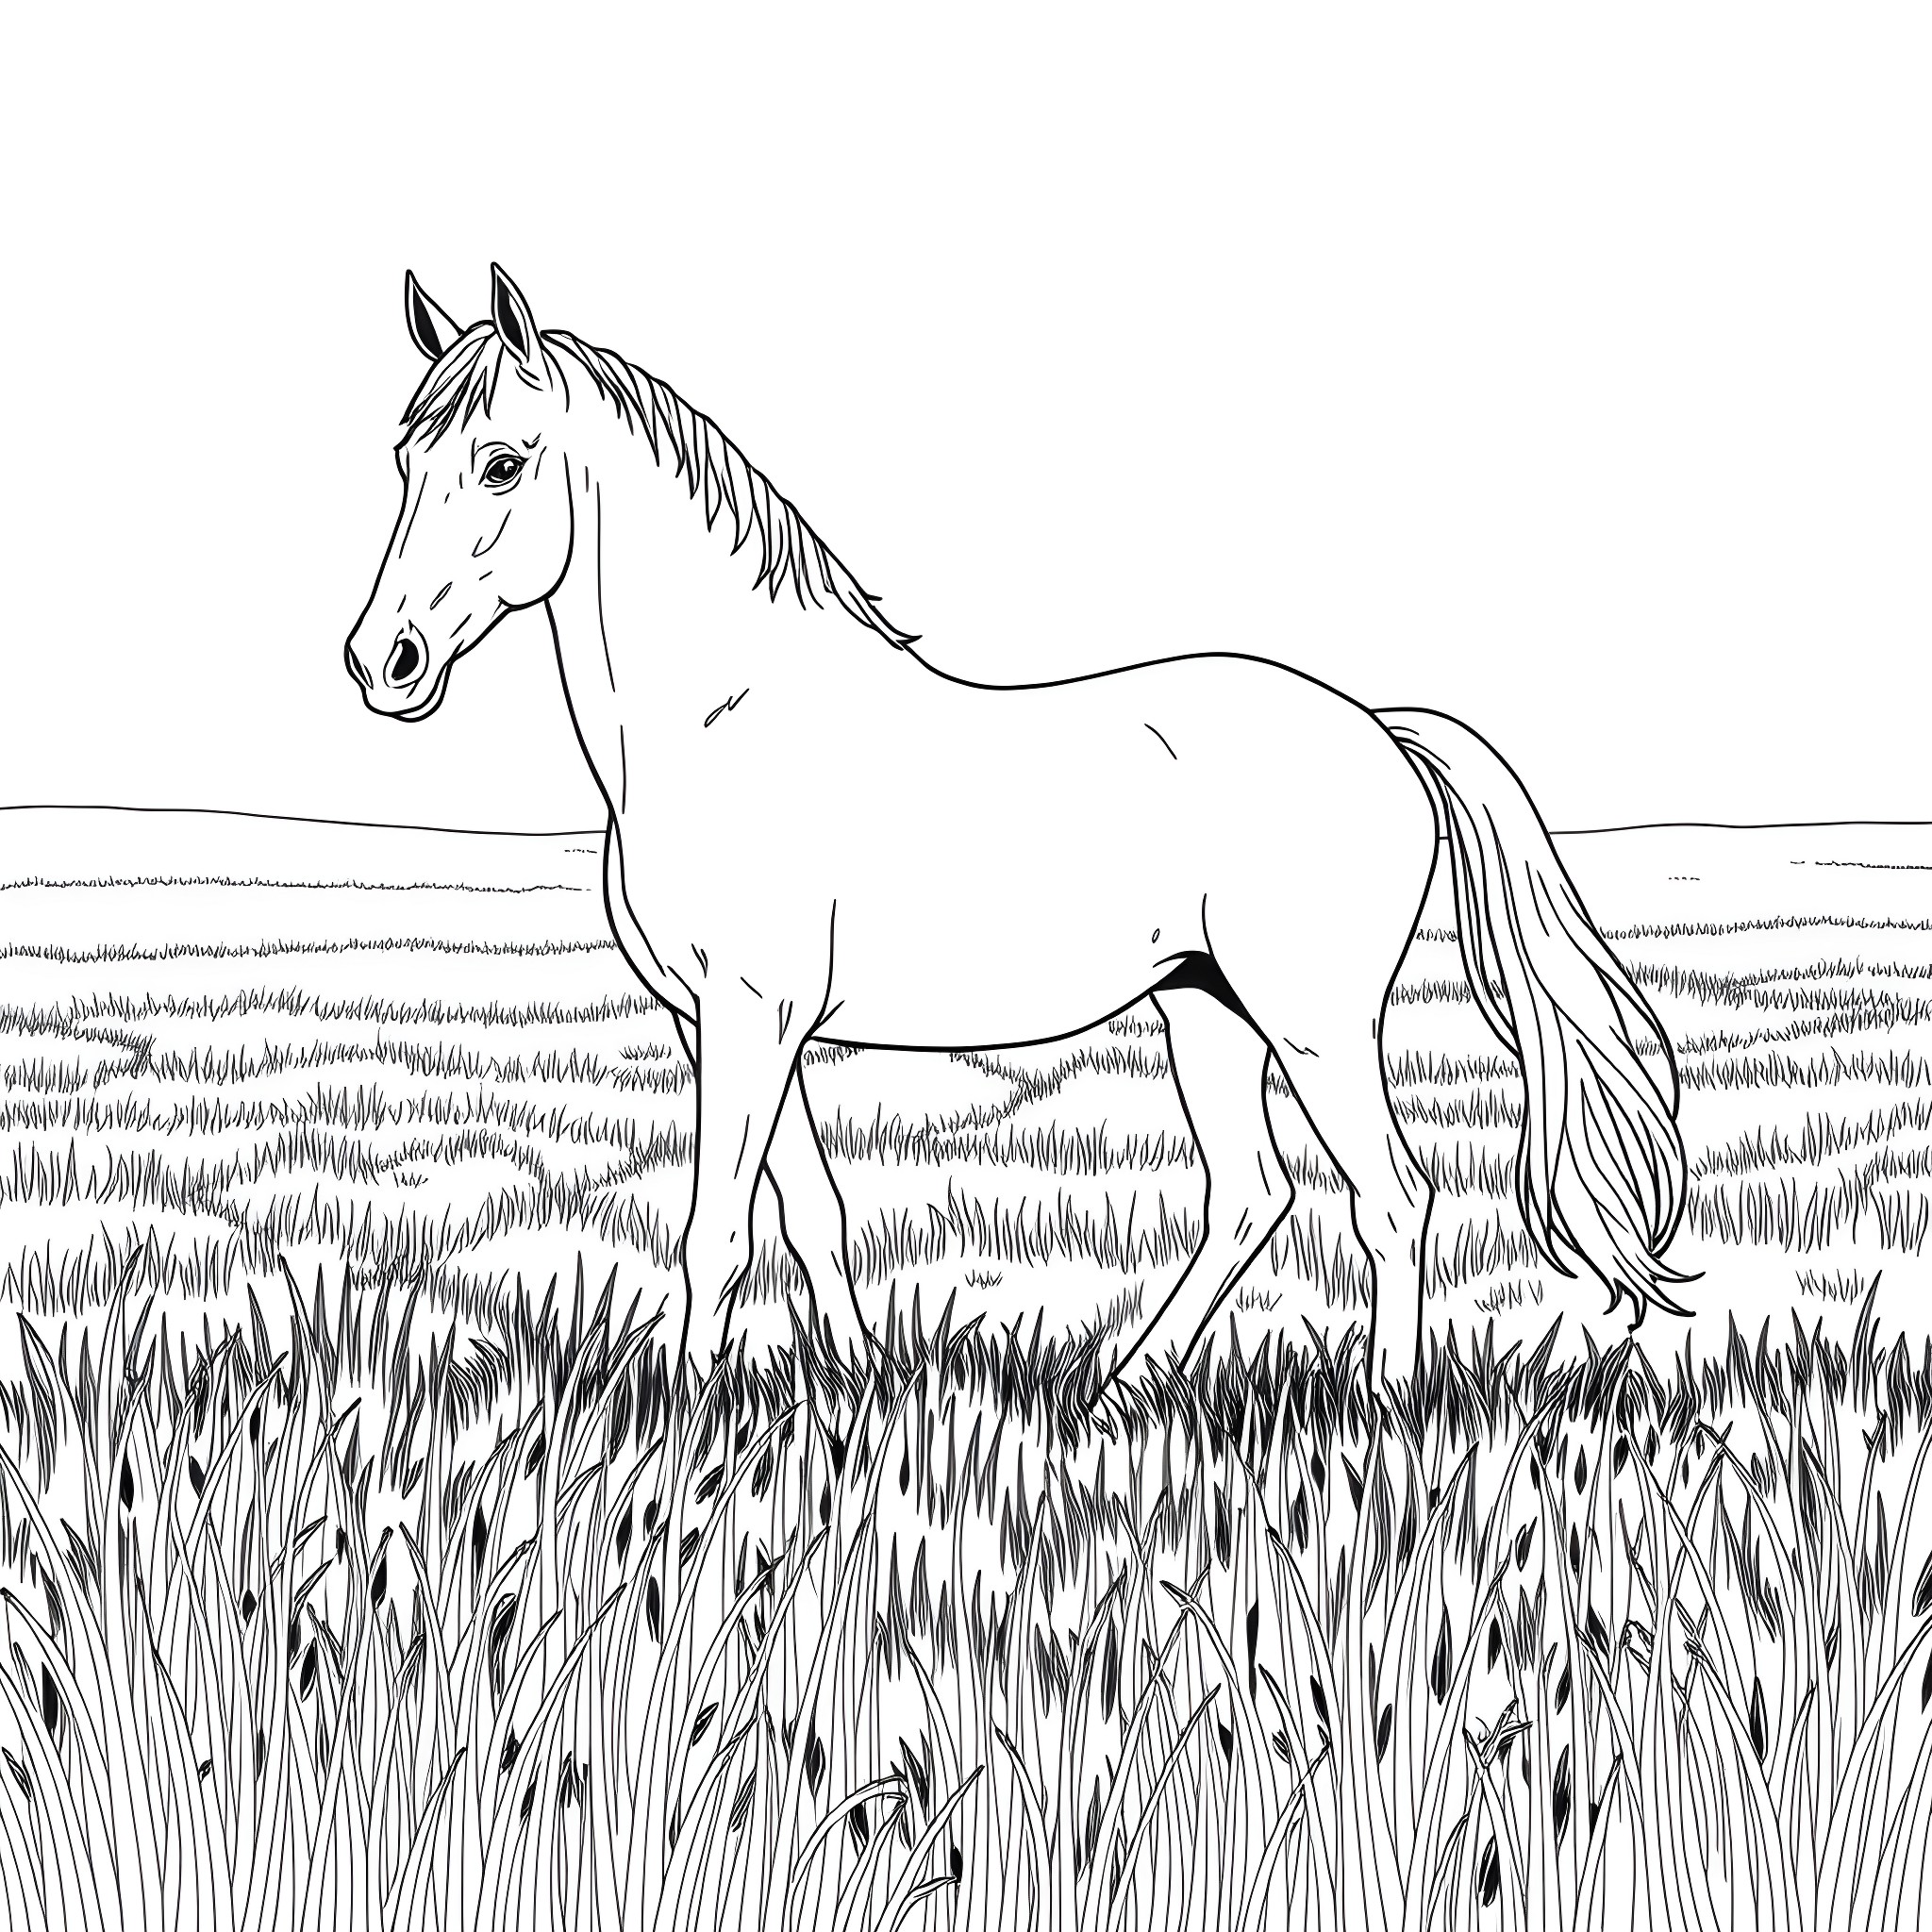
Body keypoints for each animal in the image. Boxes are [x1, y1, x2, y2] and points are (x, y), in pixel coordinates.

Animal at [343, 264, 1692, 1397]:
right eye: (405, 457)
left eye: (502, 462)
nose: (380, 661)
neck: (724, 719)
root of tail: (1377, 729)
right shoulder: (727, 1021)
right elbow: (812, 1217)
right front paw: (858, 1390)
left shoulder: (750, 1014)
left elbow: (714, 1229)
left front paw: (679, 1429)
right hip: (1205, 1008)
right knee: (1248, 1196)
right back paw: (1116, 1394)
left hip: (1313, 1020)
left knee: (1391, 1197)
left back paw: (1384, 1406)